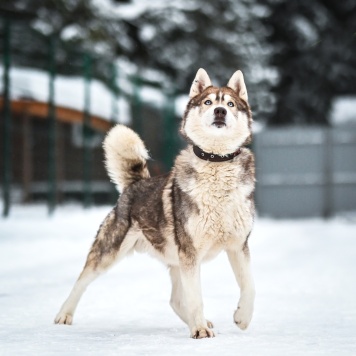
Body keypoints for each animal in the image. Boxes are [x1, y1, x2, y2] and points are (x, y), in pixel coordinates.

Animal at [55, 68, 256, 338]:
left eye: (230, 104)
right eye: (208, 102)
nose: (220, 111)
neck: (216, 162)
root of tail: (135, 183)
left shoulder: (238, 246)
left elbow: (250, 287)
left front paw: (242, 318)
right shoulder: (190, 253)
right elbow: (196, 298)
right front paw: (200, 331)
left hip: (175, 261)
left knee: (175, 300)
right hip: (110, 252)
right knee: (81, 280)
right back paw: (64, 315)